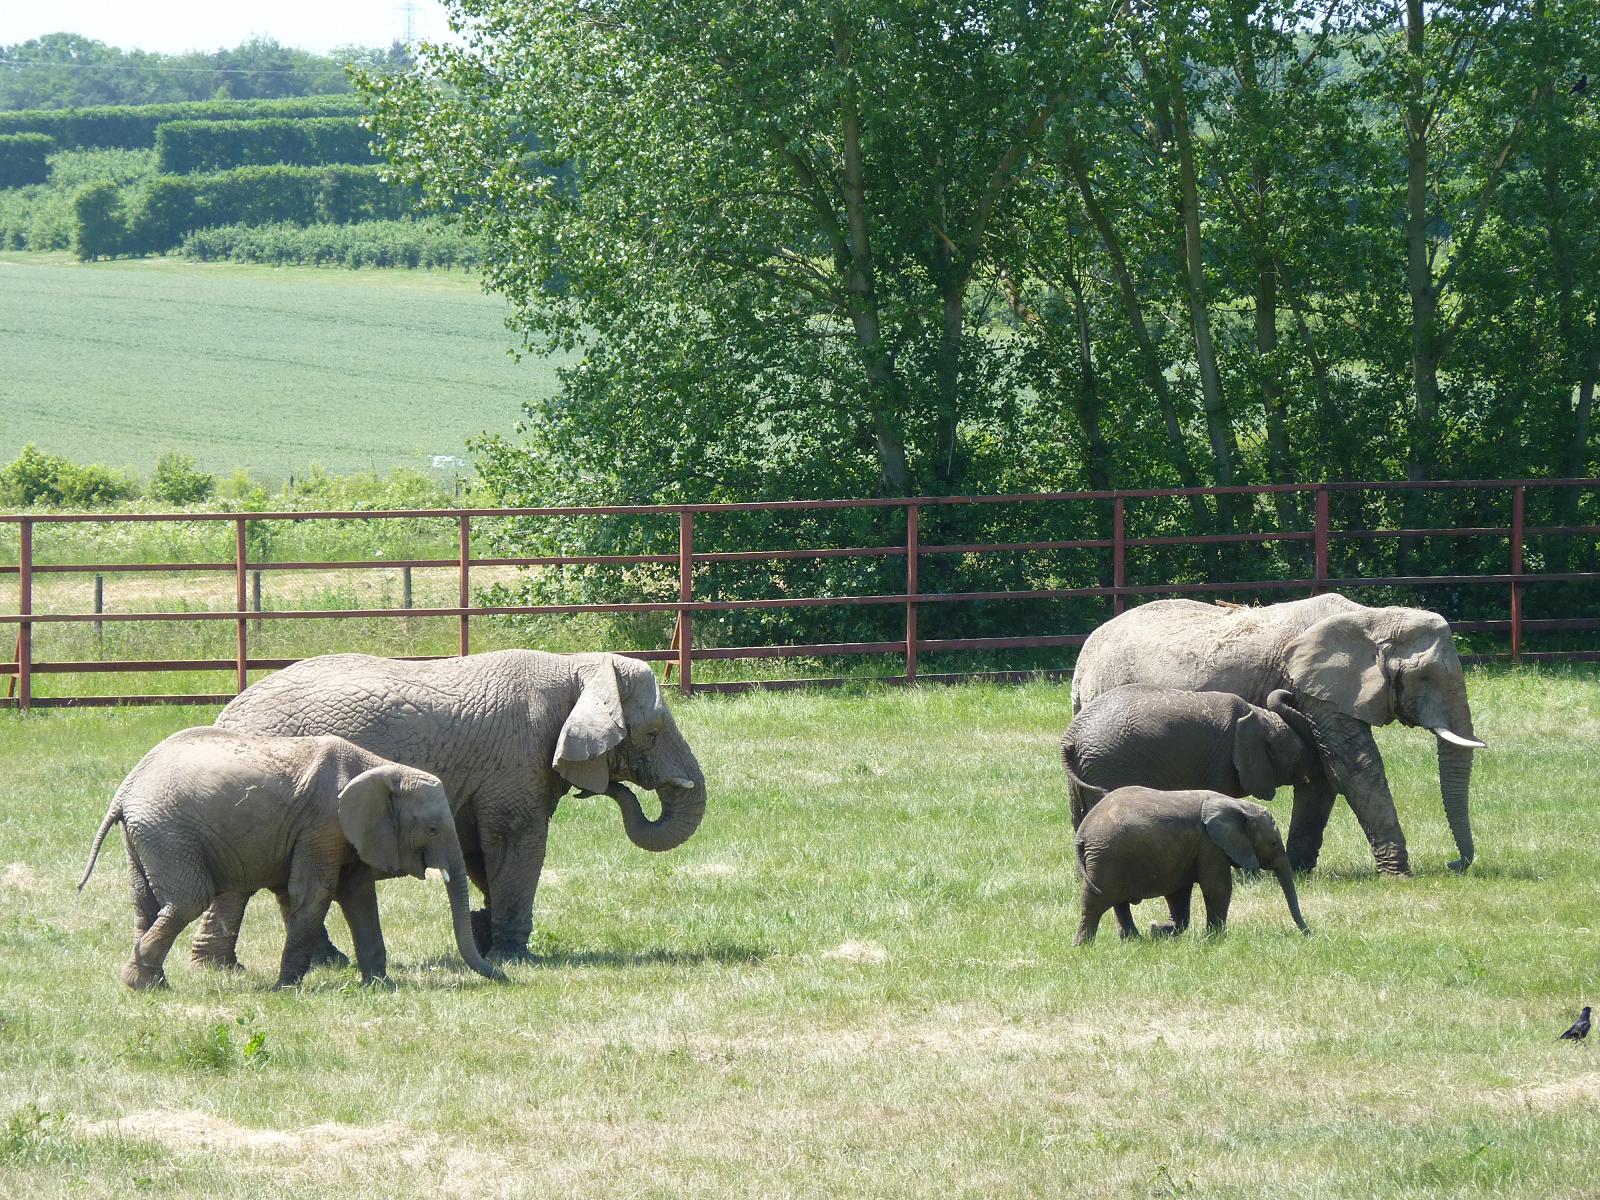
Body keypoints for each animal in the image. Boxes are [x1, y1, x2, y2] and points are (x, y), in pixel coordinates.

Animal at [78, 727, 503, 990]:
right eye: (431, 829)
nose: (505, 978)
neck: (381, 767)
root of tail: (125, 791)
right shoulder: (324, 822)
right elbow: (316, 893)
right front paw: (284, 989)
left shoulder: (346, 831)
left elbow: (358, 895)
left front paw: (381, 986)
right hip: (168, 830)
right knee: (187, 900)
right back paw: (142, 985)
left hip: (146, 833)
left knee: (145, 903)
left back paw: (150, 983)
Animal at [195, 649, 707, 965]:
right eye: (651, 734)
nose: (612, 788)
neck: (576, 666)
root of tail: (227, 712)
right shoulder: (516, 760)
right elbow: (515, 845)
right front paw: (516, 956)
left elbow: (483, 853)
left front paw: (486, 936)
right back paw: (223, 970)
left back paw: (323, 962)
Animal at [1061, 684, 1318, 827]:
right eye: (1295, 754)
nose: (1291, 693)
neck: (1256, 714)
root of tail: (1071, 737)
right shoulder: (1221, 763)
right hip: (1109, 766)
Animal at [1073, 787, 1310, 944]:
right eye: (1273, 843)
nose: (1310, 934)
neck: (1240, 806)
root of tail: (1083, 831)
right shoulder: (1210, 845)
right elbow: (1217, 887)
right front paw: (1215, 940)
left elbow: (1179, 893)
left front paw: (1158, 930)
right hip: (1106, 856)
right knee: (1094, 901)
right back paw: (1083, 948)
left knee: (1118, 903)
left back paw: (1135, 940)